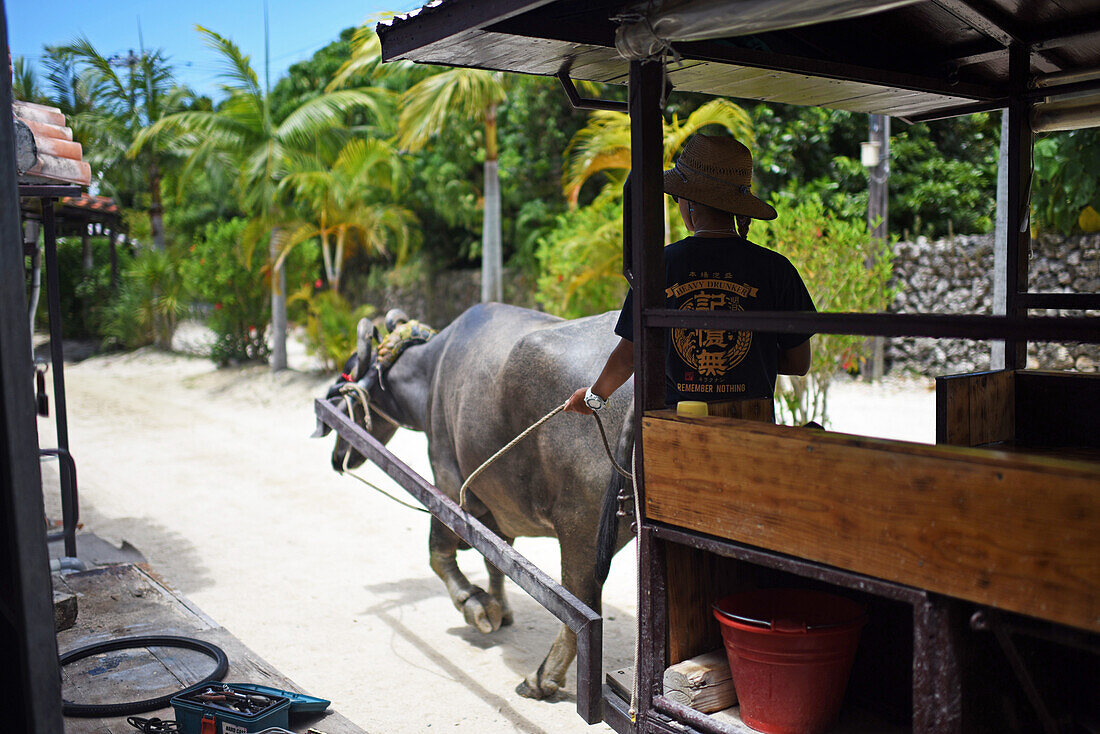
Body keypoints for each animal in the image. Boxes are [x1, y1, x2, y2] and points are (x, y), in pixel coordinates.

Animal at [319, 303, 638, 699]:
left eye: (349, 371)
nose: (336, 455)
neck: (431, 370)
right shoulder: (496, 506)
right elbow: (495, 561)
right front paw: (500, 608)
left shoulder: (447, 480)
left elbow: (438, 551)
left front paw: (476, 605)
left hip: (581, 531)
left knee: (583, 606)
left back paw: (542, 677)